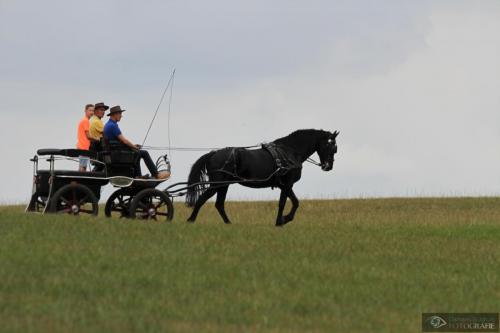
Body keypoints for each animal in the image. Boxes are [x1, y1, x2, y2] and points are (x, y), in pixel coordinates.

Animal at [186, 128, 338, 224]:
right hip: (217, 184)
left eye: (335, 148)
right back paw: (191, 220)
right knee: (202, 199)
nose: (328, 166)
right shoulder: (287, 184)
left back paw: (228, 223)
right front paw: (282, 220)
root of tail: (213, 153)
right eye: (331, 147)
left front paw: (283, 219)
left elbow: (293, 202)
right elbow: (286, 203)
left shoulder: (285, 186)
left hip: (224, 185)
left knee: (219, 204)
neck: (289, 152)